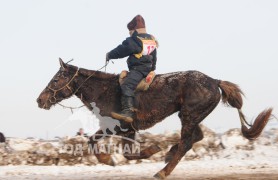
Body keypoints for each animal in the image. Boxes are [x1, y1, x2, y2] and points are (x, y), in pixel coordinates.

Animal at [35, 58, 272, 179]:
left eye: (55, 79)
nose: (40, 100)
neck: (104, 90)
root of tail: (215, 81)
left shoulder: (118, 127)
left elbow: (116, 148)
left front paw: (148, 151)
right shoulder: (122, 128)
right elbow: (114, 148)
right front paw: (111, 159)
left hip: (189, 116)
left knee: (187, 142)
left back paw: (163, 170)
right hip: (190, 116)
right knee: (196, 137)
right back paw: (168, 154)